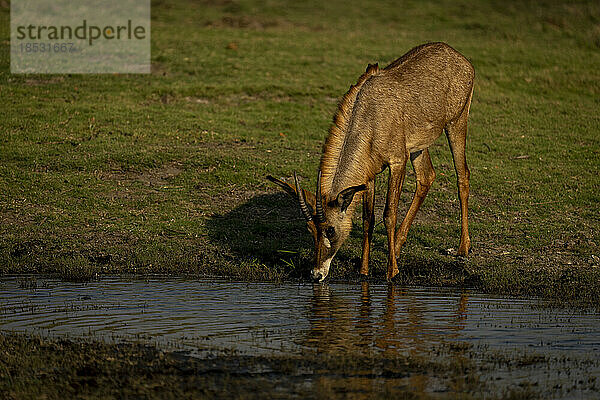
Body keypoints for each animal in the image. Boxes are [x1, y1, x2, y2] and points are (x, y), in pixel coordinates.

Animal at [270, 43, 476, 282]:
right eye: (310, 228)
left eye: (330, 229)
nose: (316, 274)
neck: (369, 115)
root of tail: (460, 58)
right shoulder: (368, 174)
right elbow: (368, 218)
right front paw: (364, 270)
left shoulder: (397, 162)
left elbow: (389, 214)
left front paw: (391, 271)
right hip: (418, 146)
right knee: (427, 177)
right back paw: (398, 245)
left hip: (457, 122)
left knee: (463, 175)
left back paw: (462, 248)